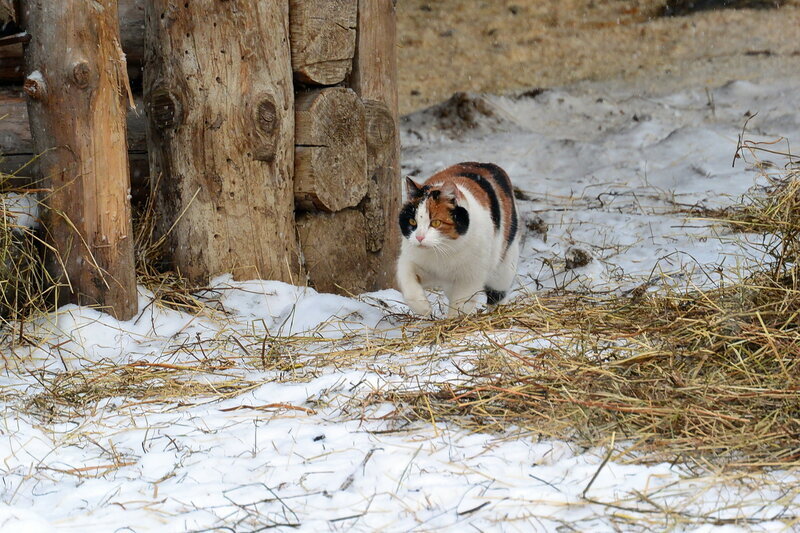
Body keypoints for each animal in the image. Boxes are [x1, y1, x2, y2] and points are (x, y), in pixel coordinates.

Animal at [398, 162, 520, 316]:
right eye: (412, 222)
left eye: (436, 223)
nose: (419, 237)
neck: (444, 251)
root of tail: (487, 164)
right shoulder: (411, 259)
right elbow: (407, 280)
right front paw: (423, 308)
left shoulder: (471, 277)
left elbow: (460, 305)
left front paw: (453, 321)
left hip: (504, 266)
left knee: (498, 294)